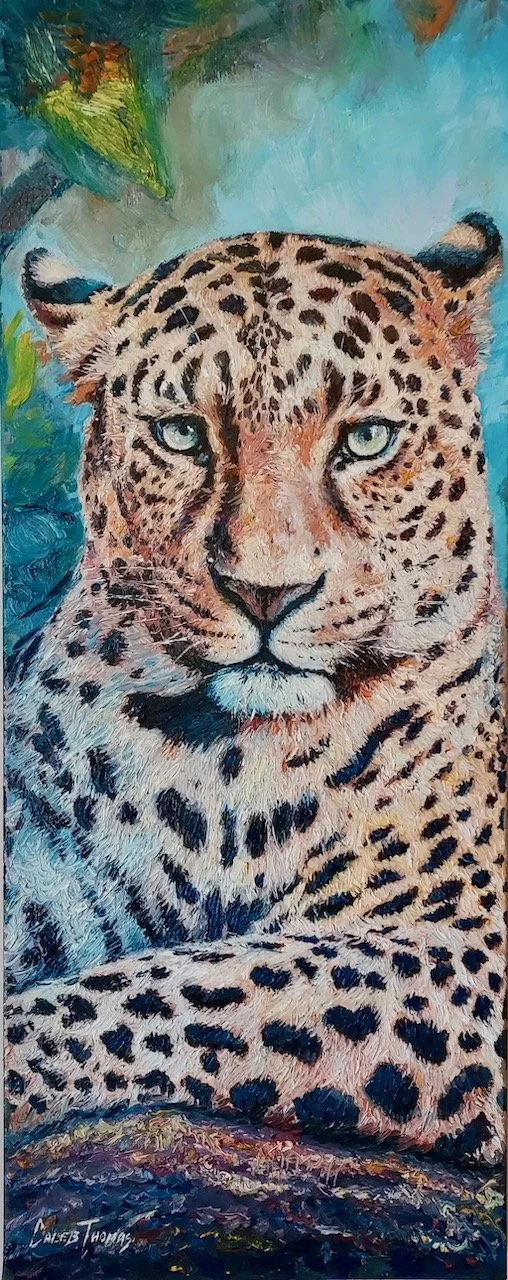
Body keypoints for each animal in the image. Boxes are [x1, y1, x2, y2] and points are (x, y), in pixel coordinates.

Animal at [4, 214, 506, 1172]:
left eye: (368, 440)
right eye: (181, 435)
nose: (266, 592)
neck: (233, 766)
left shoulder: (474, 948)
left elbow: (196, 983)